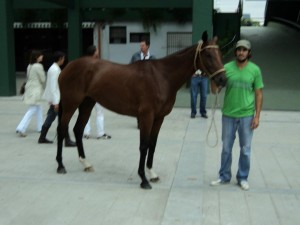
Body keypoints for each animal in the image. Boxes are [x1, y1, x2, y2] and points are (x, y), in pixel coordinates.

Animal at [56, 30, 226, 189]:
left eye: (219, 54)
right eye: (209, 55)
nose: (223, 80)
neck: (162, 76)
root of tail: (67, 67)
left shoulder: (159, 118)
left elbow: (152, 144)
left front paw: (152, 173)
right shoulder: (146, 116)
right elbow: (144, 145)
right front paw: (143, 179)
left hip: (87, 104)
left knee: (78, 129)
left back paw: (86, 163)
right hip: (71, 104)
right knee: (62, 129)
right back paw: (60, 166)